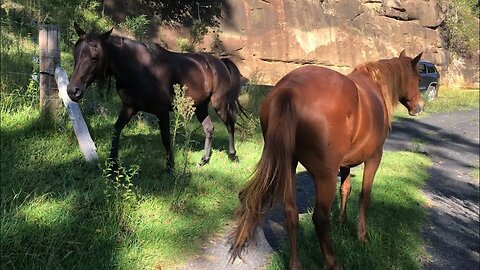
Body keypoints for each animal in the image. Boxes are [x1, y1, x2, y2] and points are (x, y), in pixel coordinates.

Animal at [231, 50, 422, 270]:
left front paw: (342, 220)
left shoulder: (345, 163)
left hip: (289, 165)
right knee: (320, 218)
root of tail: (289, 89)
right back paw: (332, 263)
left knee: (290, 212)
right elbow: (365, 196)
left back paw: (295, 264)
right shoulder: (374, 157)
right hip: (325, 176)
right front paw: (362, 236)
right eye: (419, 77)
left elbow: (345, 188)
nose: (419, 107)